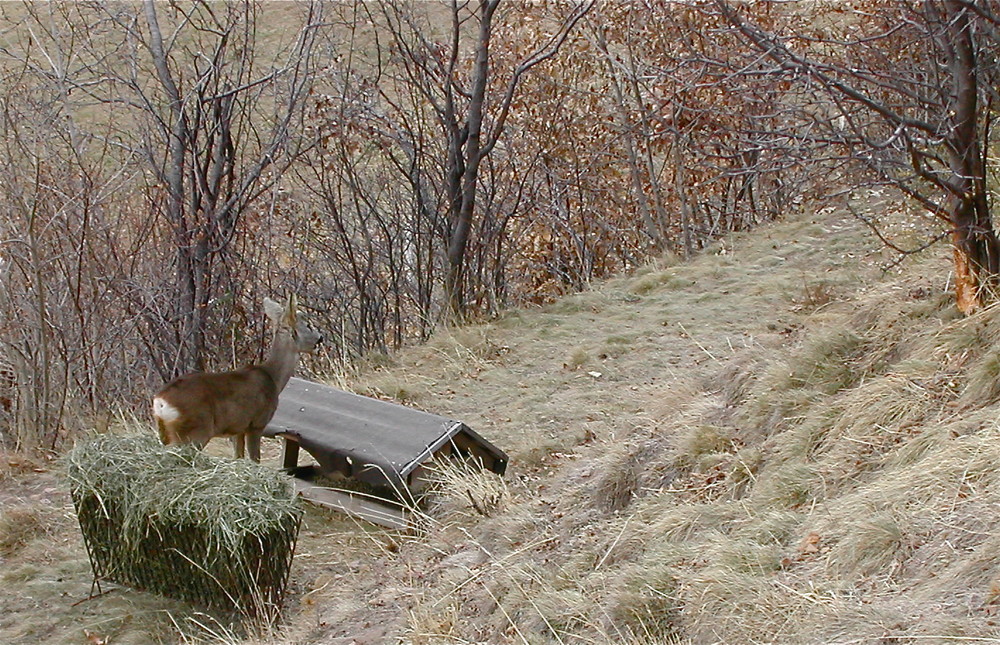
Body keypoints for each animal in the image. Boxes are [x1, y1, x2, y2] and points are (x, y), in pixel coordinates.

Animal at [151, 294, 320, 460]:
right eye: (308, 325)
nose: (320, 338)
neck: (273, 377)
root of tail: (161, 401)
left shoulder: (237, 430)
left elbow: (238, 455)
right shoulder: (256, 424)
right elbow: (254, 458)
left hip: (167, 433)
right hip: (195, 431)